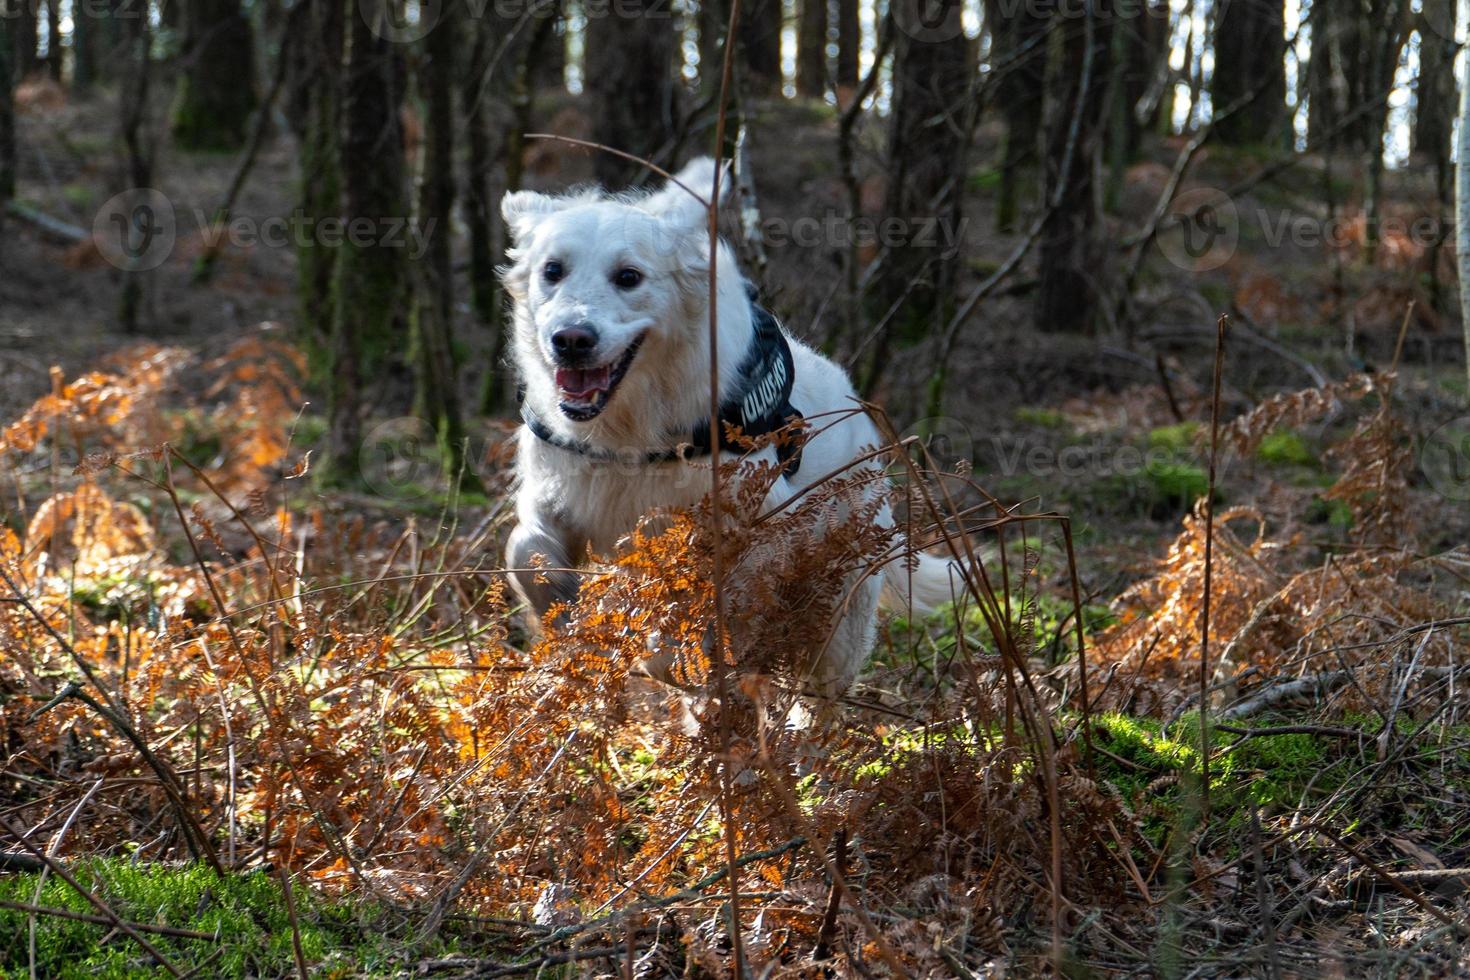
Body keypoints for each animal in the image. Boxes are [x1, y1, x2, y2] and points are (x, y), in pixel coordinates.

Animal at [499, 159, 970, 696]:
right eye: (552, 271)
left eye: (629, 277)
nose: (571, 340)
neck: (632, 432)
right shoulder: (558, 492)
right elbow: (523, 549)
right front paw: (560, 610)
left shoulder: (758, 531)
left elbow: (706, 610)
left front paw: (667, 654)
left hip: (837, 614)